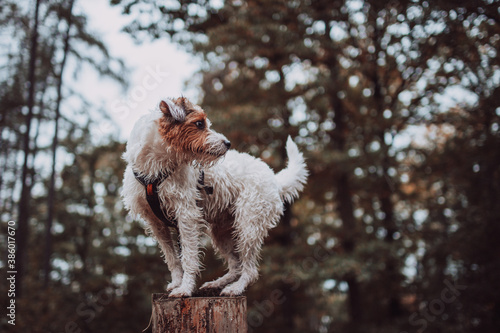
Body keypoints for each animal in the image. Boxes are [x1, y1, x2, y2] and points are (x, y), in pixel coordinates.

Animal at [121, 96, 308, 296]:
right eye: (199, 123)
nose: (228, 143)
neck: (156, 169)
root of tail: (274, 180)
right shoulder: (157, 224)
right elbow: (173, 259)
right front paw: (177, 283)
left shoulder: (186, 216)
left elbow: (188, 257)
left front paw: (185, 288)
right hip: (221, 233)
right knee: (236, 266)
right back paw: (216, 284)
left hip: (248, 226)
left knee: (249, 270)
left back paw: (235, 288)